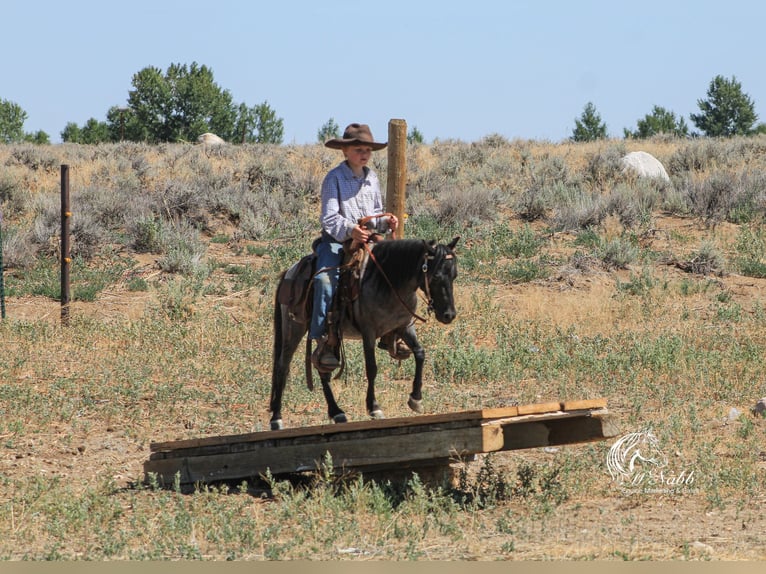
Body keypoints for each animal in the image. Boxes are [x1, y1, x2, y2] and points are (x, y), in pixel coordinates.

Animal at [272, 237, 462, 432]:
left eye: (454, 275)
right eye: (436, 275)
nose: (449, 315)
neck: (389, 281)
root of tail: (289, 272)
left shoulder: (404, 327)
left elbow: (420, 354)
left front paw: (415, 399)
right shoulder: (368, 332)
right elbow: (372, 368)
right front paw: (374, 408)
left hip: (324, 337)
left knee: (322, 367)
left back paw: (336, 412)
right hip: (294, 328)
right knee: (282, 366)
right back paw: (277, 419)